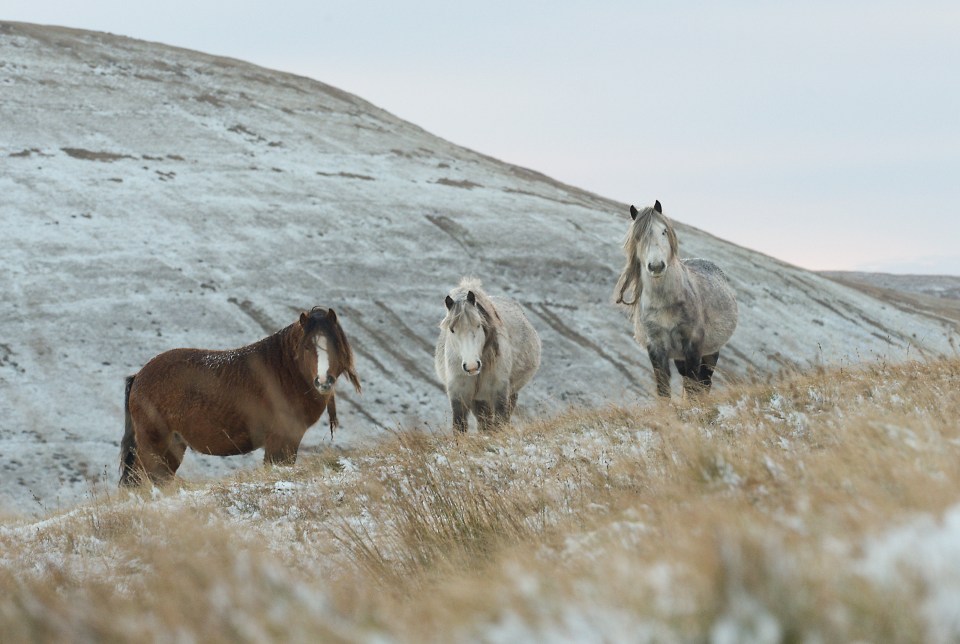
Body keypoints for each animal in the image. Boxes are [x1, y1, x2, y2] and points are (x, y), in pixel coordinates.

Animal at [120, 306, 360, 484]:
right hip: (153, 444)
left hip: (173, 446)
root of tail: (139, 376)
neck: (284, 372)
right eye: (308, 346)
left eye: (334, 343)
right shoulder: (279, 439)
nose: (323, 381)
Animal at [434, 278, 540, 432]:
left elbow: (500, 421)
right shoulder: (459, 396)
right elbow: (459, 427)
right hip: (479, 399)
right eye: (452, 330)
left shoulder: (499, 391)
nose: (472, 366)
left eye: (479, 324)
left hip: (508, 393)